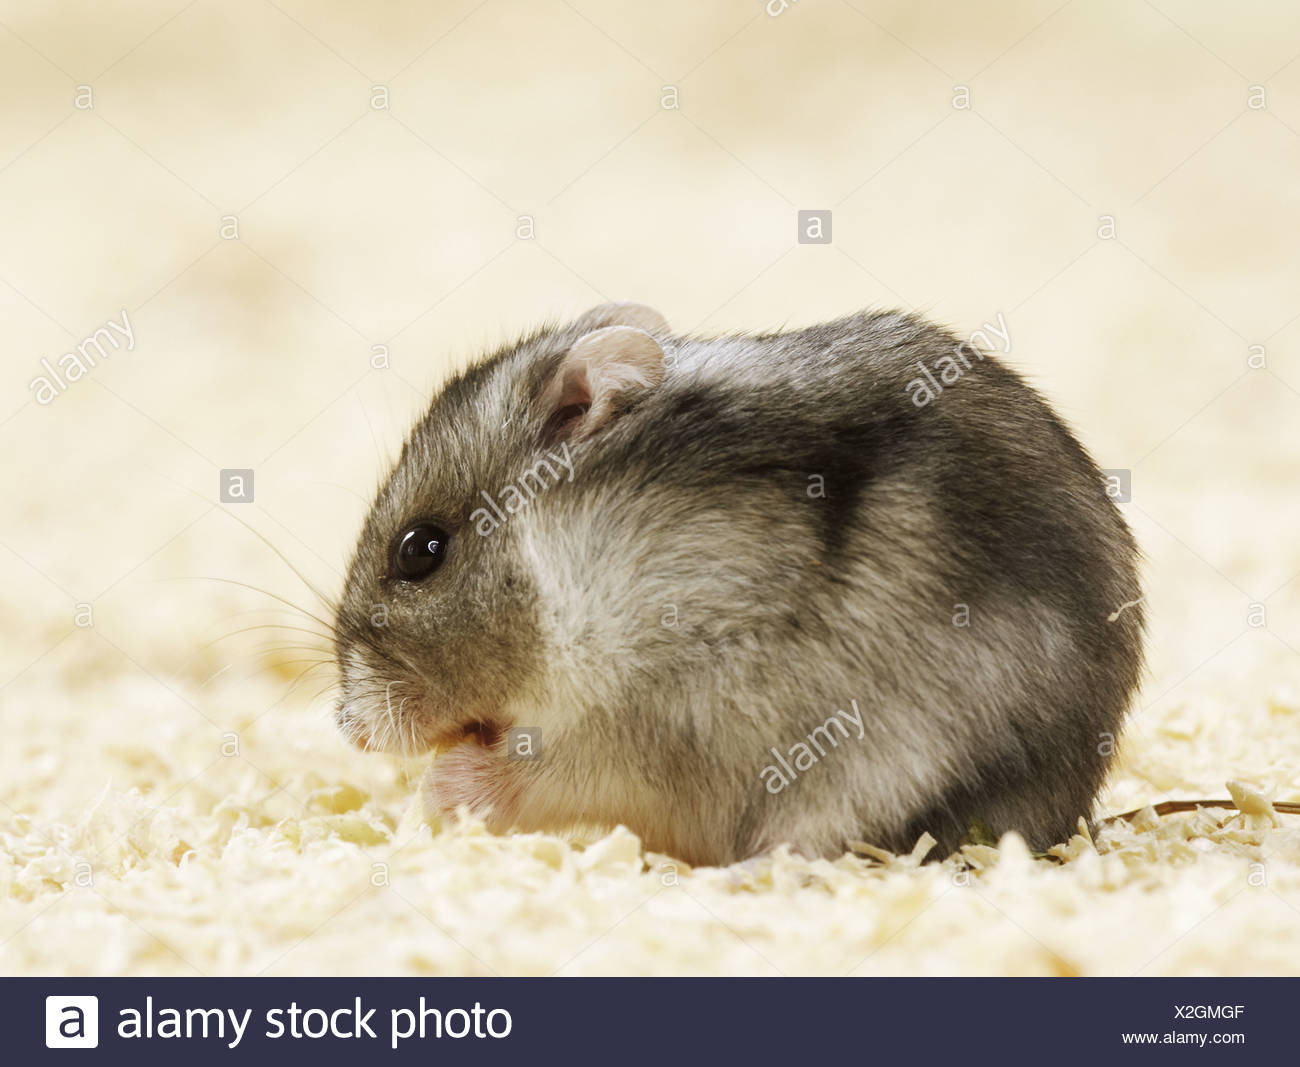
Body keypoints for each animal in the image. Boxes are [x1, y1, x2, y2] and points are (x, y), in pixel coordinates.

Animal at [333, 302, 1144, 866]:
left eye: (421, 551)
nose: (349, 728)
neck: (575, 561)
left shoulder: (659, 713)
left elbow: (550, 767)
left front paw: (438, 791)